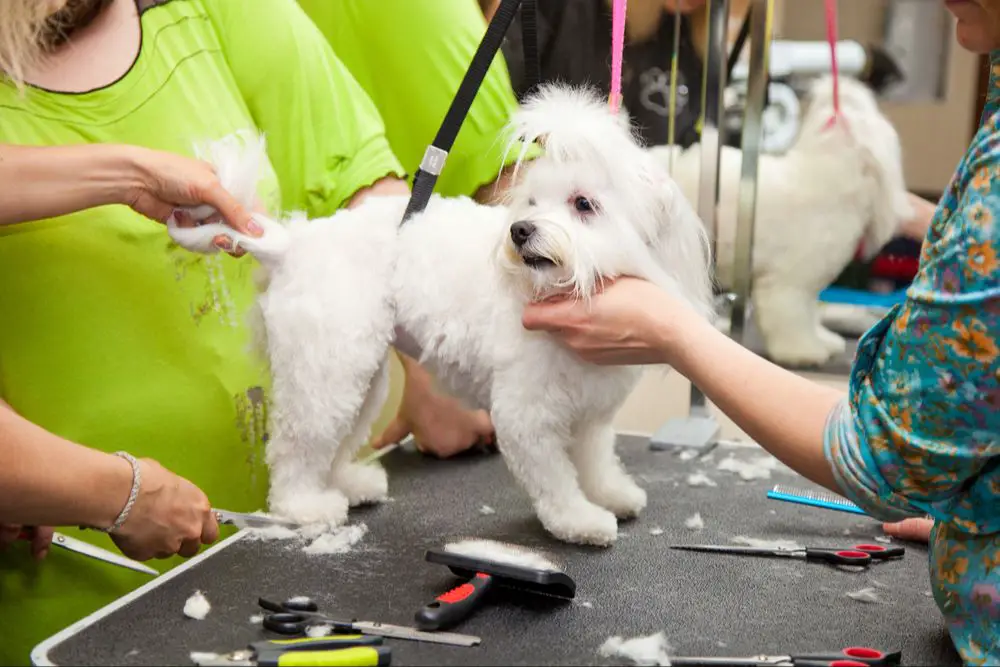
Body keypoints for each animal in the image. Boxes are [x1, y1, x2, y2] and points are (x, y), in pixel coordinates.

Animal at [172, 85, 716, 548]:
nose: (520, 230)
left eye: (584, 204)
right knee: (295, 446)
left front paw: (610, 494)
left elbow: (595, 460)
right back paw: (304, 506)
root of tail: (294, 243)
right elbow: (555, 480)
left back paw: (349, 482)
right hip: (326, 366)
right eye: (531, 202)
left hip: (360, 374)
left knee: (339, 437)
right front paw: (580, 521)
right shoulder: (526, 415)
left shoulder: (591, 413)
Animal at [648, 76, 916, 368]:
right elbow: (792, 319)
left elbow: (810, 315)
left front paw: (823, 340)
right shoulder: (789, 284)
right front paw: (805, 351)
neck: (831, 175)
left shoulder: (808, 286)